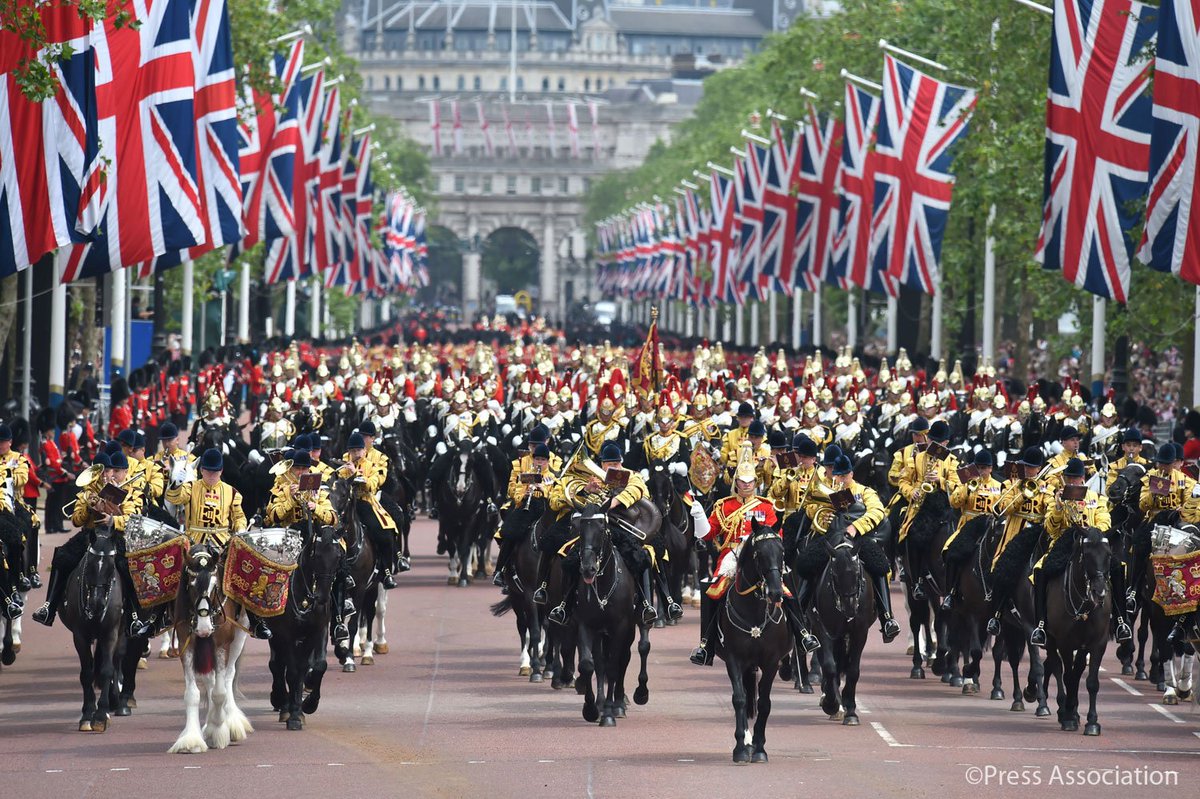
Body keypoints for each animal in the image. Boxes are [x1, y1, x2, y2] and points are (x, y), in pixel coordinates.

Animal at [57, 527, 124, 729]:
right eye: (91, 564)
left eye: (111, 566)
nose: (97, 603)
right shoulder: (80, 636)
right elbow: (86, 673)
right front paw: (88, 713)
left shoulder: (110, 633)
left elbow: (107, 670)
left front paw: (101, 714)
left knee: (116, 661)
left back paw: (117, 703)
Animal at [267, 520, 343, 729]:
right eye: (316, 556)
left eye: (338, 556)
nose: (322, 597)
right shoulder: (285, 634)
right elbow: (292, 672)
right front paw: (293, 714)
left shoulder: (317, 631)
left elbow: (316, 666)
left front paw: (306, 706)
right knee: (277, 665)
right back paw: (281, 701)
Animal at [710, 515, 787, 758]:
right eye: (758, 553)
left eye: (782, 551)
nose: (776, 593)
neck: (753, 612)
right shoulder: (734, 660)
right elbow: (740, 699)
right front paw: (740, 748)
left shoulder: (772, 662)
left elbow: (764, 703)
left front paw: (760, 748)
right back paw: (746, 740)